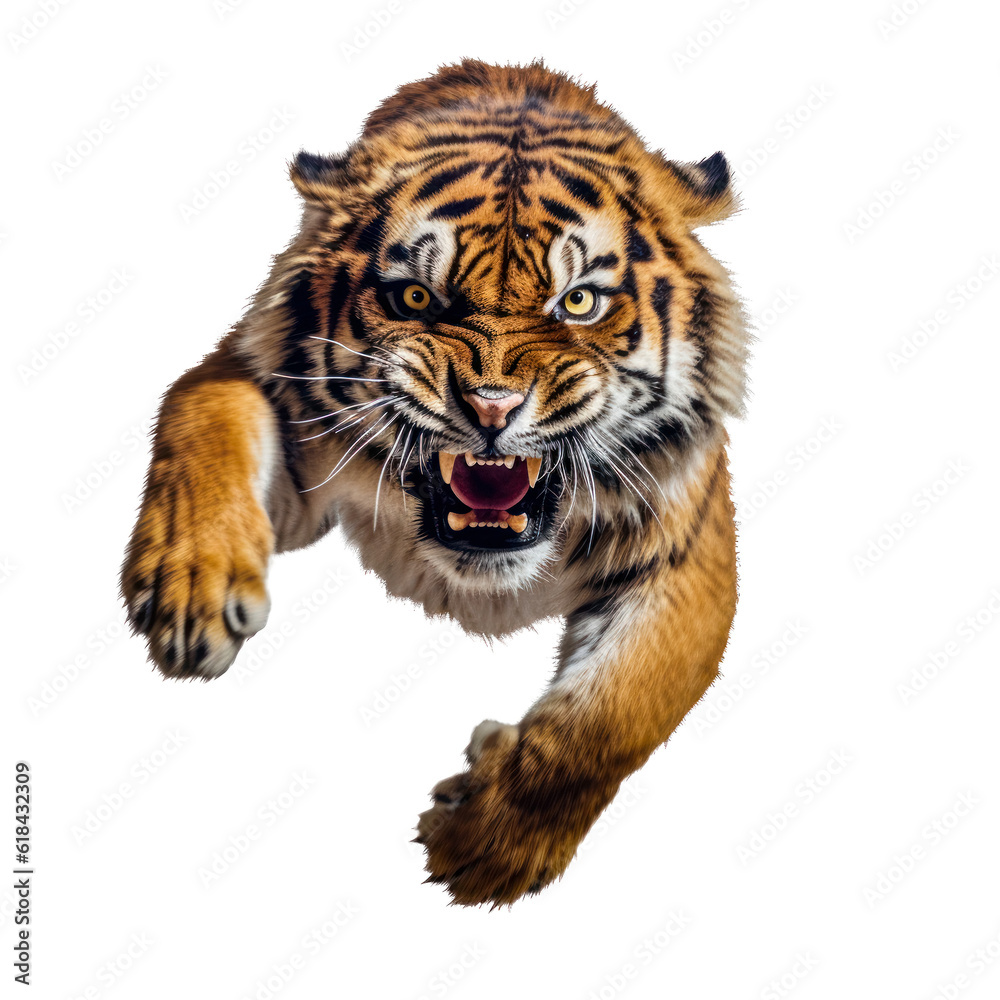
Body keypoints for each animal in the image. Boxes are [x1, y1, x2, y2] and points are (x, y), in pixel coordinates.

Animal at [121, 58, 749, 906]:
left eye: (579, 301)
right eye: (415, 298)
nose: (491, 406)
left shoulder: (685, 549)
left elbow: (608, 718)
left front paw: (483, 845)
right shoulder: (270, 405)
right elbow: (203, 410)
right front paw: (190, 594)